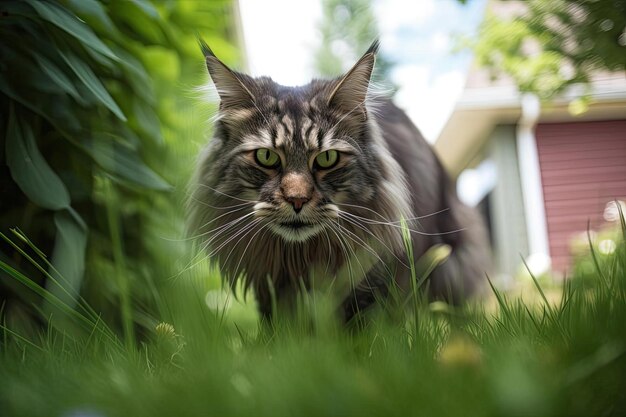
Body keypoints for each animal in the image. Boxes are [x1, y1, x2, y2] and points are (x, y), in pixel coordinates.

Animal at [188, 39, 490, 322]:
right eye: (266, 156)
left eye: (327, 158)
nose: (297, 199)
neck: (299, 258)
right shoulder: (270, 285)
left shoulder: (370, 277)